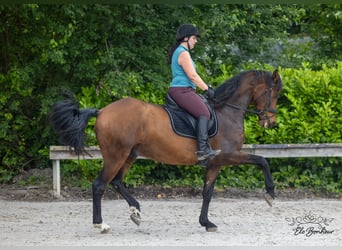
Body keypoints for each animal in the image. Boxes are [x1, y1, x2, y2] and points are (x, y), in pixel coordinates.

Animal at [49, 69, 282, 232]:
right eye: (273, 92)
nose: (270, 123)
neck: (227, 112)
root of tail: (102, 111)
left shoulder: (215, 163)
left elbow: (207, 193)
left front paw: (206, 222)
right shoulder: (228, 156)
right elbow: (262, 160)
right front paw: (270, 193)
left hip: (129, 155)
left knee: (116, 182)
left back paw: (135, 211)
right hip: (116, 156)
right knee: (99, 185)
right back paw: (101, 224)